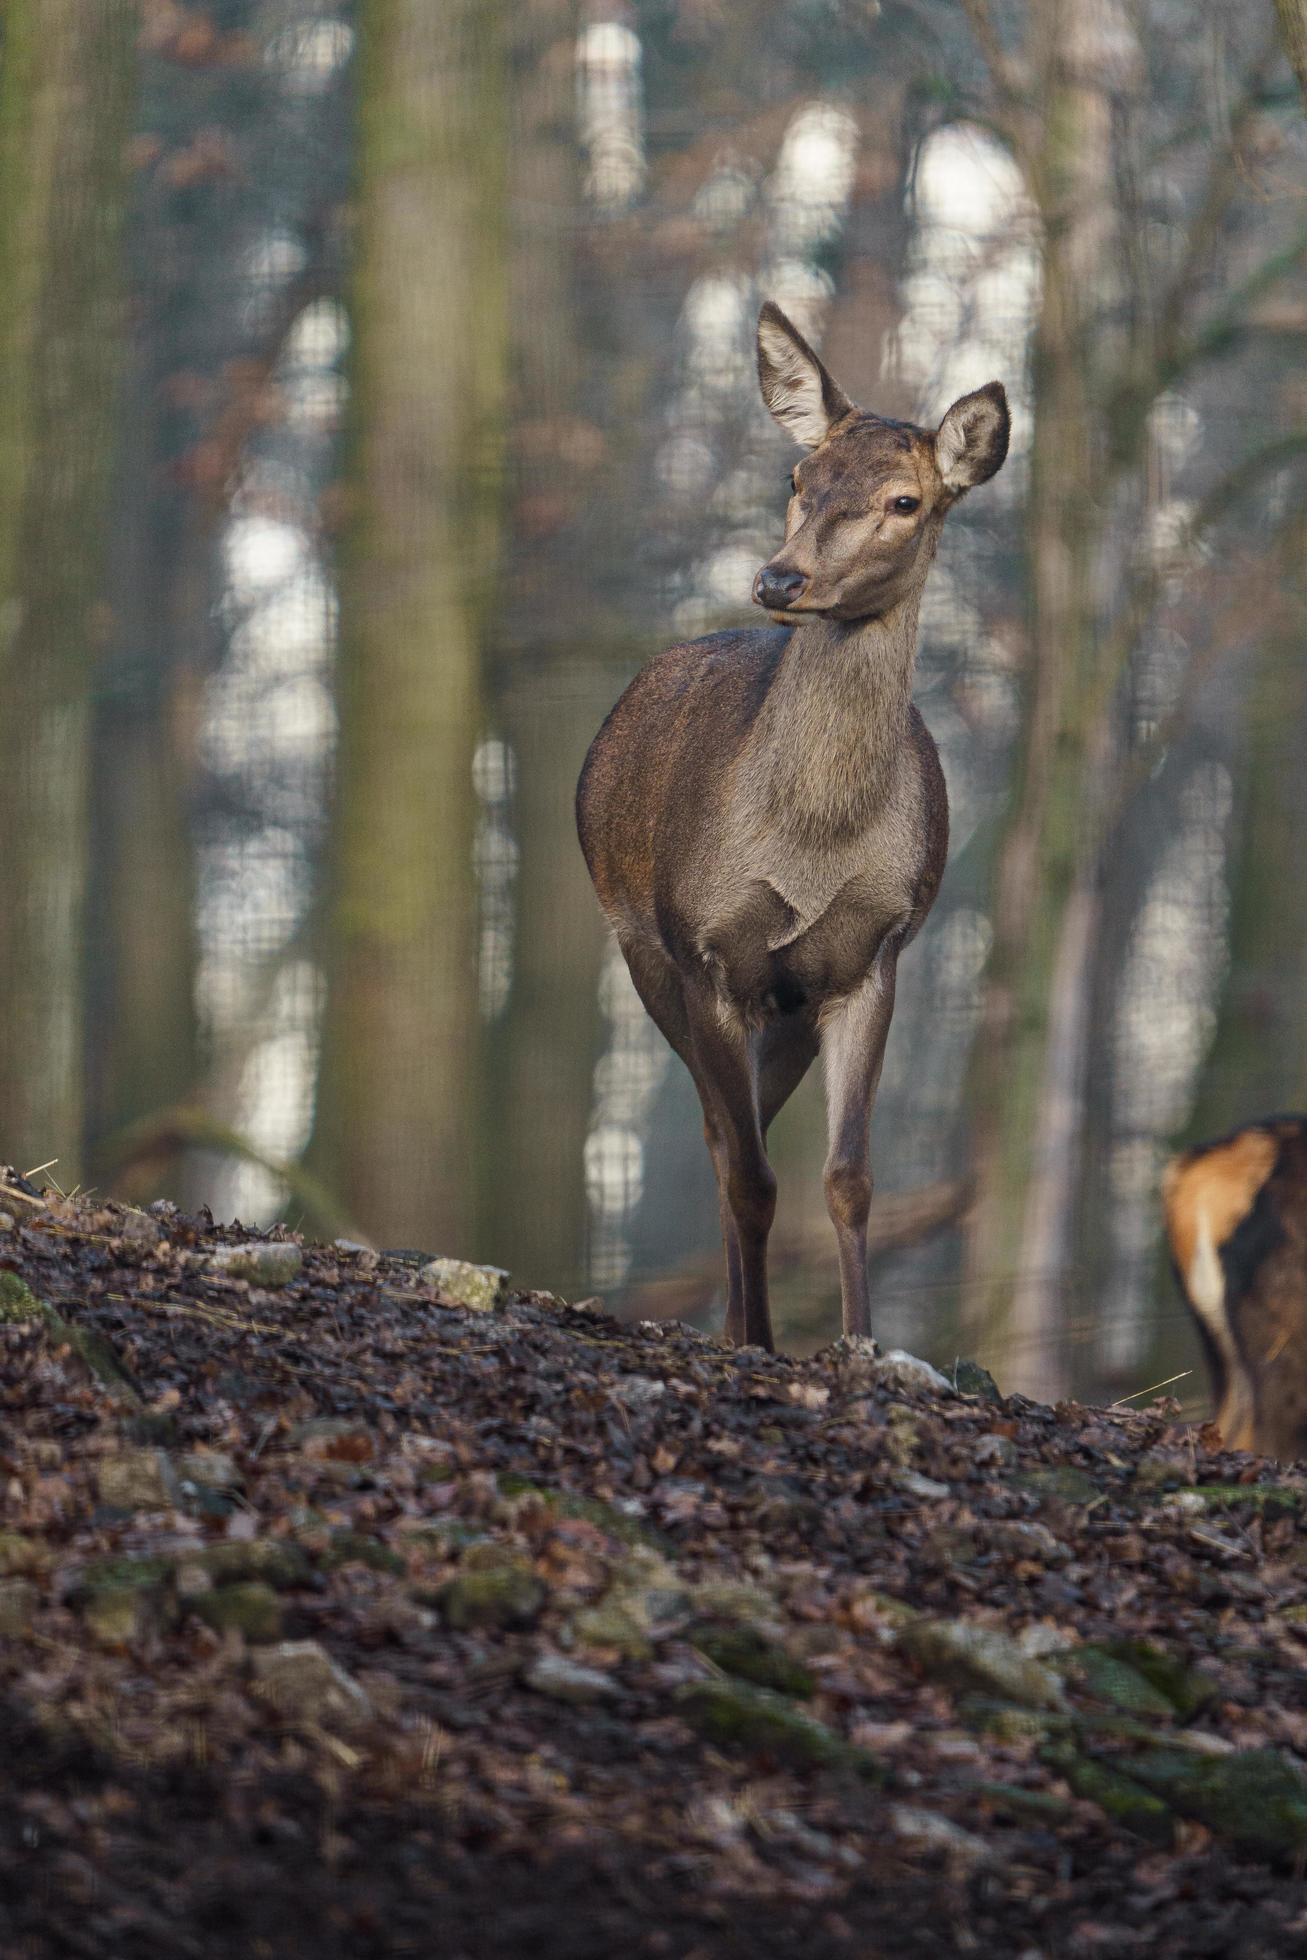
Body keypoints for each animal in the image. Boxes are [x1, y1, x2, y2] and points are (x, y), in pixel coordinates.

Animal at [580, 301, 1011, 1348]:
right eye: (797, 479)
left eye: (904, 501)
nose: (778, 582)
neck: (810, 847)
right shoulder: (702, 950)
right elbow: (748, 1174)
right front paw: (763, 1341)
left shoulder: (873, 956)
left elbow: (847, 1177)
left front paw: (861, 1340)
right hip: (643, 951)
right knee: (719, 1138)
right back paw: (739, 1323)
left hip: (786, 1006)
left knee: (744, 1135)